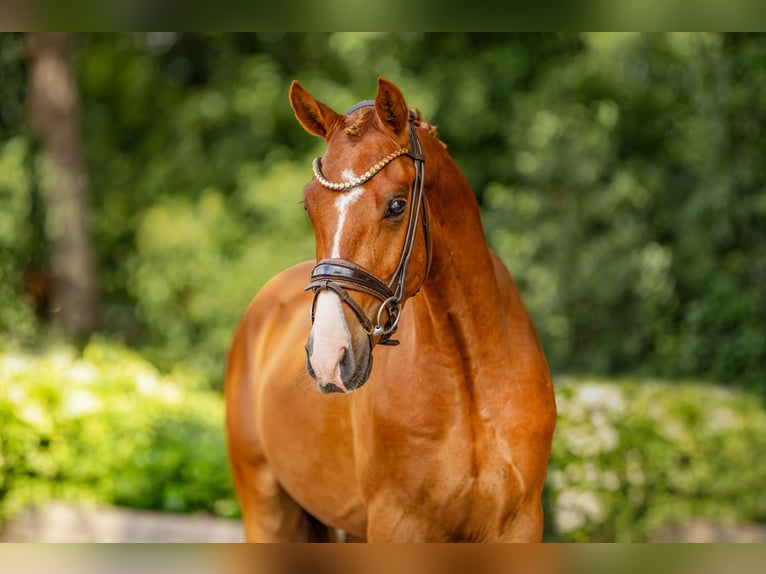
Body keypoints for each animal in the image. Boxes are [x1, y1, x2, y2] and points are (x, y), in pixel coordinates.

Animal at [224, 78, 556, 542]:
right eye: (309, 206)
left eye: (398, 205)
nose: (329, 356)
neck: (470, 376)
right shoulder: (396, 525)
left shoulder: (519, 526)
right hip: (266, 509)